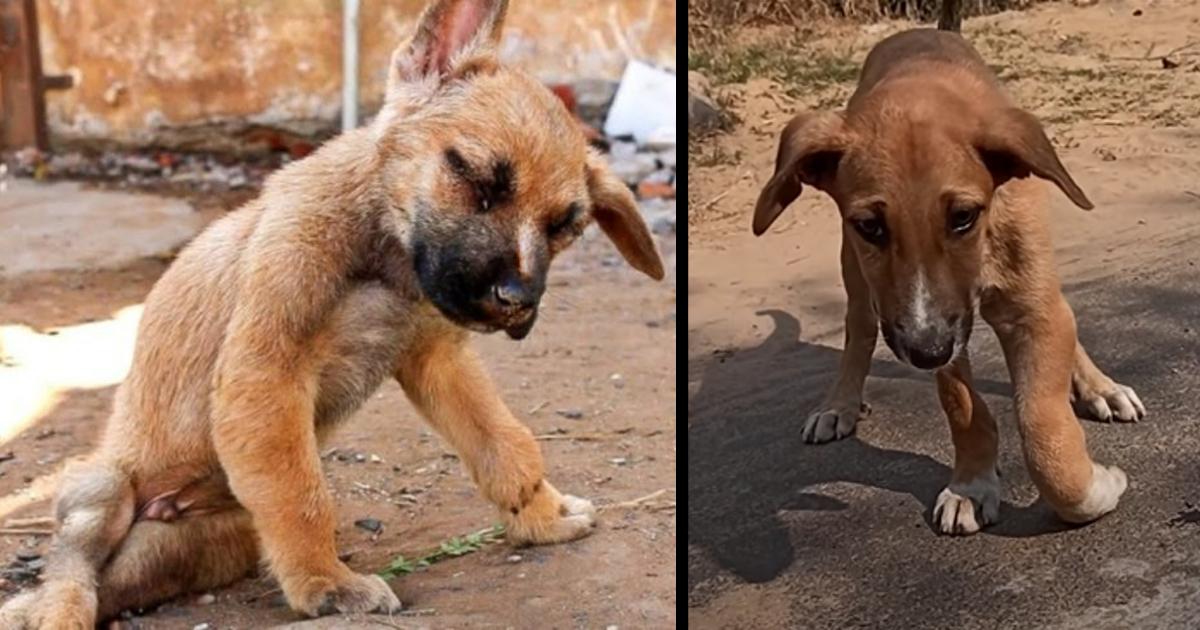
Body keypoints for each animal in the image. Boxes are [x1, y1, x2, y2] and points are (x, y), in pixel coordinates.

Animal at [0, 0, 667, 624]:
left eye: (564, 228)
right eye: (474, 175)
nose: (517, 302)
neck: (385, 259)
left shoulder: (437, 361)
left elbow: (505, 444)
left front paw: (541, 515)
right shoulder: (264, 375)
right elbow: (302, 495)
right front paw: (326, 585)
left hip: (211, 540)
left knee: (116, 586)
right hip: (103, 488)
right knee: (72, 573)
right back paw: (54, 612)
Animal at [753, 28, 1147, 530]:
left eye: (963, 216)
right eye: (870, 226)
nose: (926, 351)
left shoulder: (1028, 308)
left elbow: (1043, 429)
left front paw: (1095, 484)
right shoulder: (937, 329)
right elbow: (962, 406)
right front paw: (972, 484)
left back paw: (1101, 387)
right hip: (857, 278)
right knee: (859, 331)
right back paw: (838, 404)